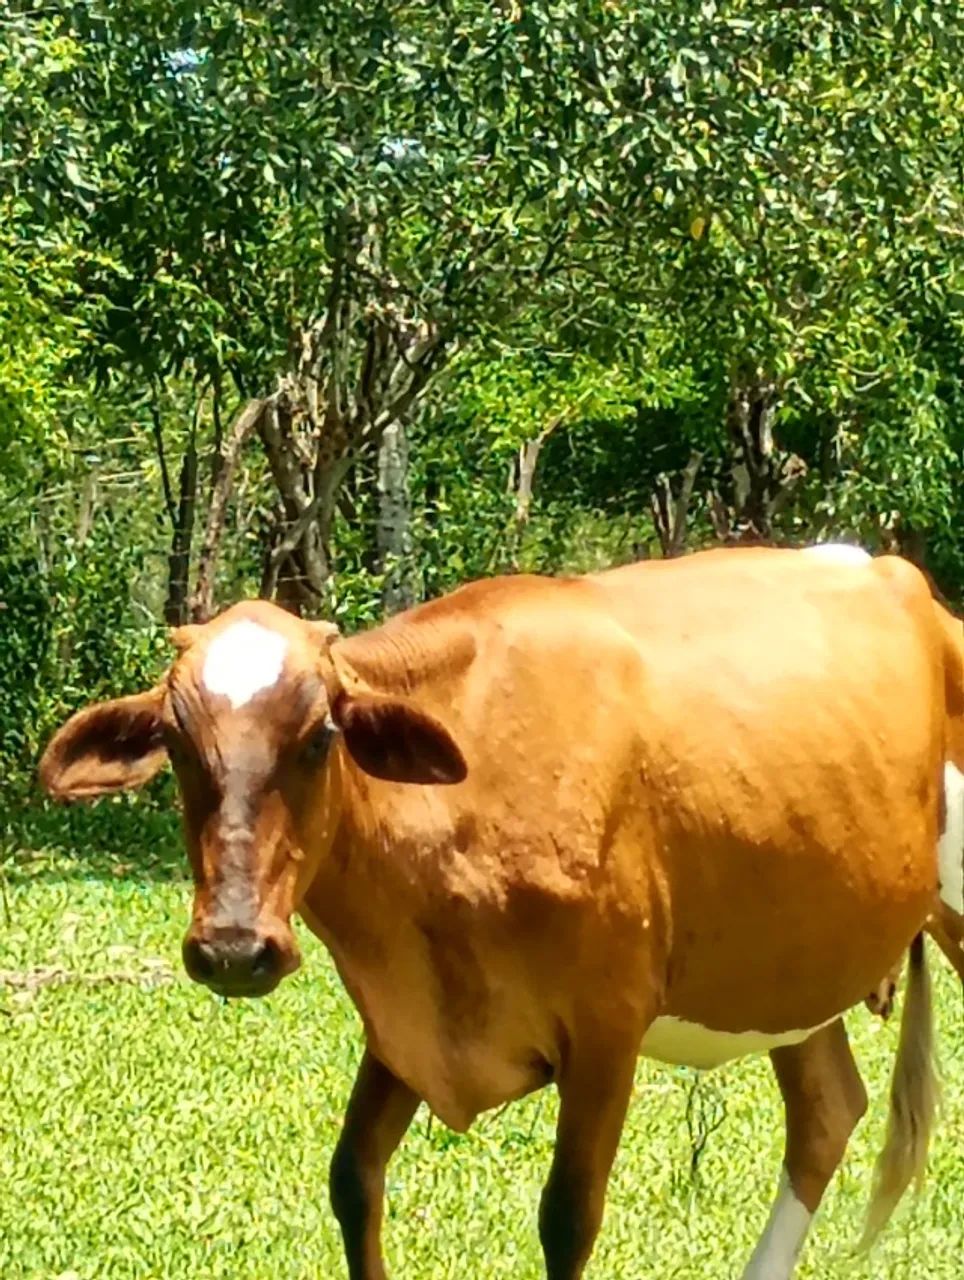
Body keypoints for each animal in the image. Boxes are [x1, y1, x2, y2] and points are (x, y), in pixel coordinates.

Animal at [39, 545, 964, 1280]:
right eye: (177, 743)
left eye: (321, 737)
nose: (234, 947)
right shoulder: (401, 1026)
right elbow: (354, 1180)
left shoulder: (606, 1027)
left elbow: (567, 1218)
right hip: (790, 963)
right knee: (826, 1112)